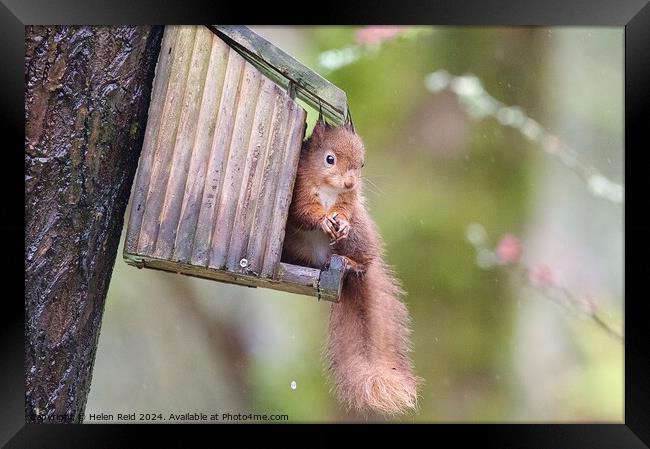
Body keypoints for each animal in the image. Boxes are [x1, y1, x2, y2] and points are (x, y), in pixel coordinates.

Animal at [280, 114, 418, 414]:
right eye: (329, 159)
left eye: (362, 163)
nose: (350, 183)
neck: (329, 189)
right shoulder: (299, 191)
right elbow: (303, 212)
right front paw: (322, 219)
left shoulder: (348, 202)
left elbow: (344, 210)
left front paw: (339, 221)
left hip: (358, 236)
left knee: (363, 261)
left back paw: (352, 263)